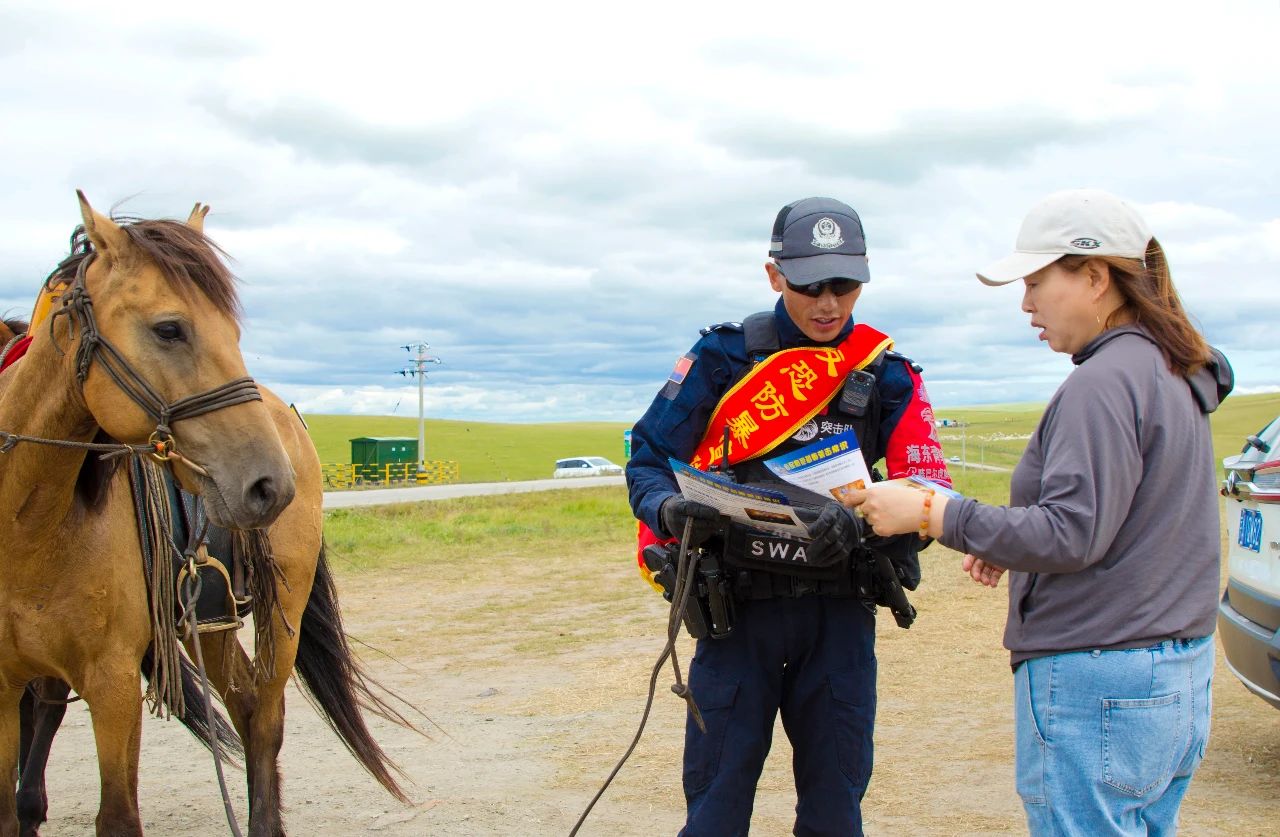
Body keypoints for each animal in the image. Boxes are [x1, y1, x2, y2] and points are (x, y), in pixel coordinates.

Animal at [0, 198, 409, 837]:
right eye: (170, 328)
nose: (271, 485)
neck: (27, 527)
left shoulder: (112, 682)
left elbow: (116, 814)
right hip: (208, 622)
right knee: (242, 703)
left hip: (279, 616)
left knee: (264, 720)